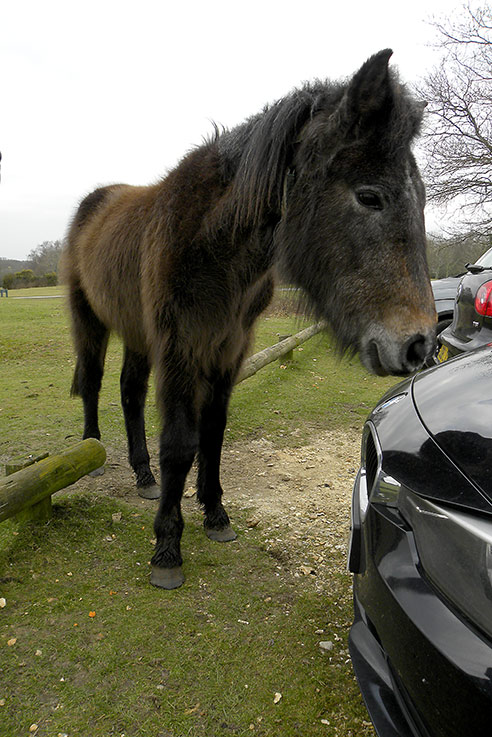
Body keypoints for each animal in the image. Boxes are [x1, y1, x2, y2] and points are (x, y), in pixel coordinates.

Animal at [63, 50, 436, 588]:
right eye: (370, 196)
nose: (419, 344)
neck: (211, 242)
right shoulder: (179, 348)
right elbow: (181, 442)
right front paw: (167, 548)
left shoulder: (228, 346)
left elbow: (213, 432)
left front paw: (215, 515)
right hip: (91, 321)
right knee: (92, 381)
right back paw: (91, 451)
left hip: (136, 333)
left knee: (129, 393)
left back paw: (144, 476)